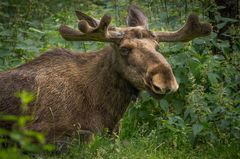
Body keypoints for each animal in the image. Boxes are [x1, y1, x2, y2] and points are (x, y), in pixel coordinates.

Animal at [0, 5, 211, 144]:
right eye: (124, 49)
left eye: (157, 46)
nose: (165, 81)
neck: (107, 107)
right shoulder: (35, 131)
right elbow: (90, 136)